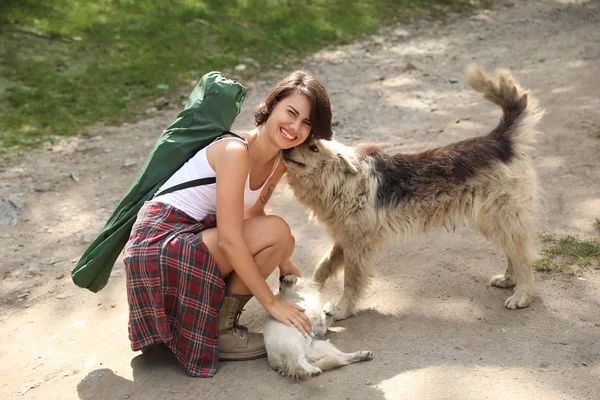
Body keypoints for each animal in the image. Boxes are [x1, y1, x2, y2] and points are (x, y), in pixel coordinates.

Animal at [282, 66, 544, 322]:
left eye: (313, 147)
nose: (285, 148)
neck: (341, 182)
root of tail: (499, 140)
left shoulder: (358, 245)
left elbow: (351, 281)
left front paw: (342, 310)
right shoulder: (344, 238)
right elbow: (323, 265)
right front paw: (309, 287)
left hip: (500, 216)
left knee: (523, 256)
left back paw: (521, 296)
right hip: (494, 221)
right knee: (513, 252)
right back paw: (508, 280)